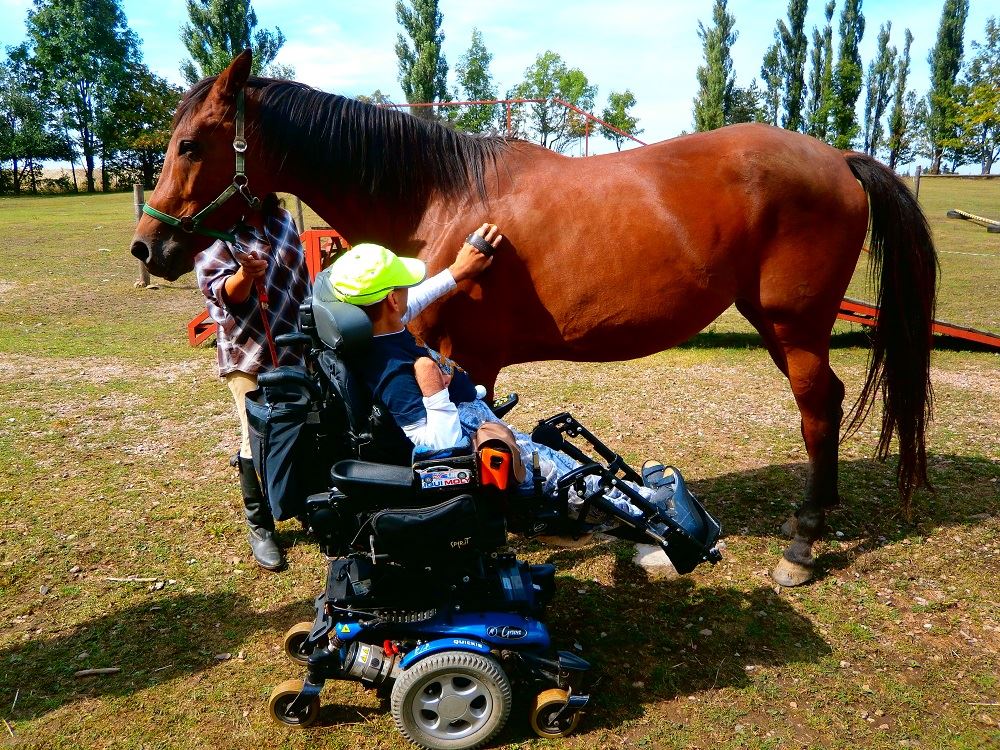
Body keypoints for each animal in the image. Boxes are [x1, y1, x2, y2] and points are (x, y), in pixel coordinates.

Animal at [135, 53, 936, 592]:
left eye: (190, 144)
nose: (148, 246)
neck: (439, 199)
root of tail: (837, 156)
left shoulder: (460, 359)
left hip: (794, 326)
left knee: (817, 409)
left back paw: (802, 545)